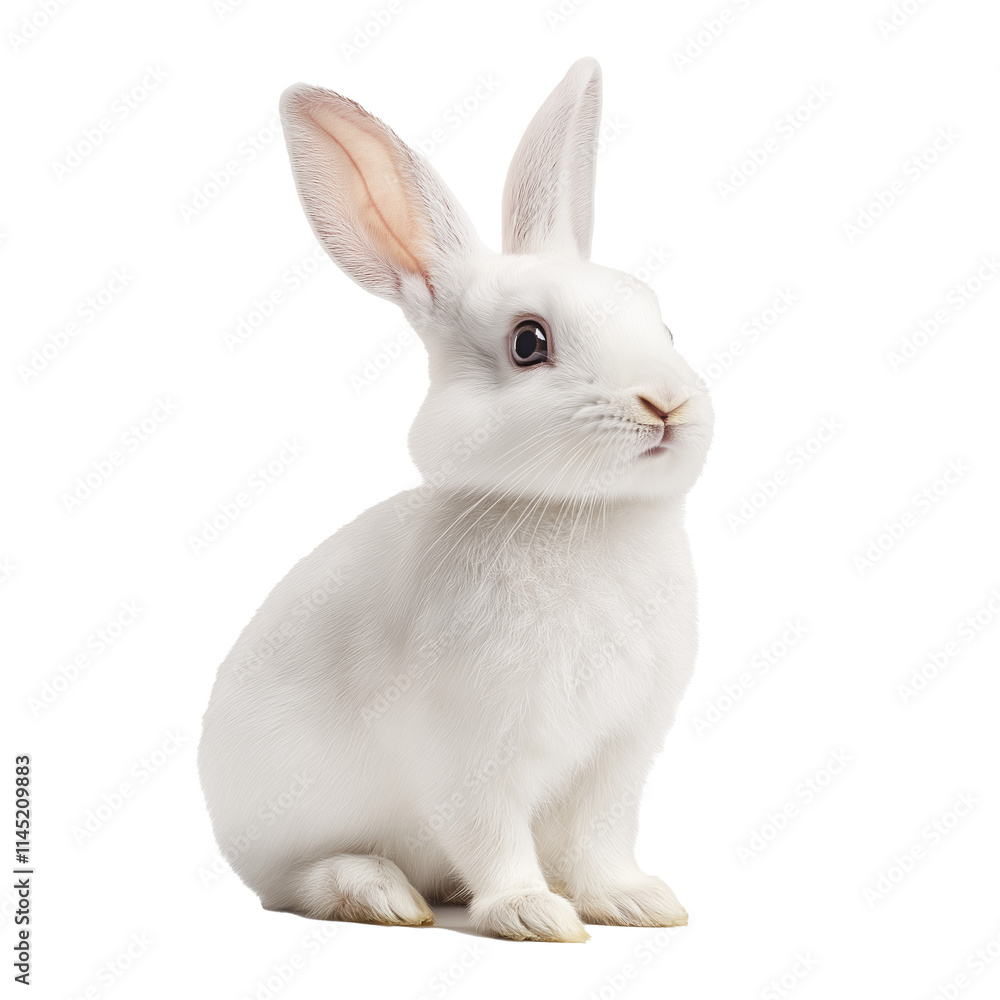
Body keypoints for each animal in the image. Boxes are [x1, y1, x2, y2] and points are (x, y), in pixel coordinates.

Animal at [197, 57, 713, 943]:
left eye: (665, 326)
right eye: (529, 342)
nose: (668, 403)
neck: (581, 517)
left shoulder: (618, 754)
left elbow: (601, 837)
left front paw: (635, 902)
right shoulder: (470, 752)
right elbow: (493, 836)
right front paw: (535, 915)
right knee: (294, 880)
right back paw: (378, 893)